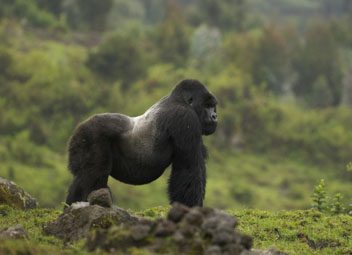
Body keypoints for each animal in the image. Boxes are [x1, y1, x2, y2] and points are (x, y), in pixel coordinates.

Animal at [64, 79, 216, 207]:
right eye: (207, 106)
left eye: (213, 107)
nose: (215, 116)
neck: (179, 100)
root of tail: (78, 129)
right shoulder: (185, 119)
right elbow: (189, 169)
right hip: (90, 137)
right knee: (94, 177)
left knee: (82, 178)